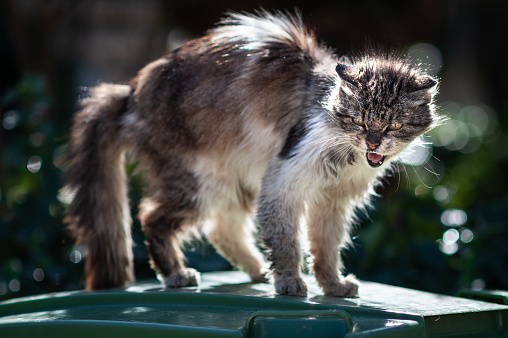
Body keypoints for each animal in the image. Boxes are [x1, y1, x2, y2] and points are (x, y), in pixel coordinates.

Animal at [63, 9, 442, 296]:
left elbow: (325, 249)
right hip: (197, 181)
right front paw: (290, 283)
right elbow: (287, 241)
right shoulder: (283, 182)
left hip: (235, 177)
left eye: (394, 126)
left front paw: (332, 286)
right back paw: (177, 275)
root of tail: (131, 92)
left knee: (221, 228)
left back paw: (257, 270)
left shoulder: (331, 201)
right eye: (358, 121)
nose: (373, 143)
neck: (345, 154)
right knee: (152, 218)